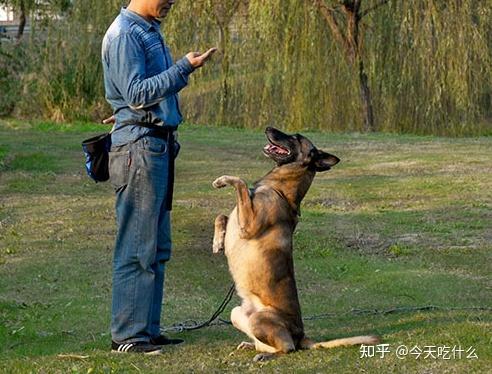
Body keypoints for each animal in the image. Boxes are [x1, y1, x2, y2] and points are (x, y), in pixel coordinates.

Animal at [212, 127, 380, 360]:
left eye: (296, 138)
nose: (268, 127)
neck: (279, 189)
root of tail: (301, 335)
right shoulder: (239, 221)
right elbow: (221, 216)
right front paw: (217, 241)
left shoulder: (248, 225)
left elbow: (240, 182)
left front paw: (222, 180)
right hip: (236, 313)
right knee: (270, 344)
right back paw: (251, 345)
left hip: (260, 319)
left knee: (288, 348)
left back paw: (267, 355)